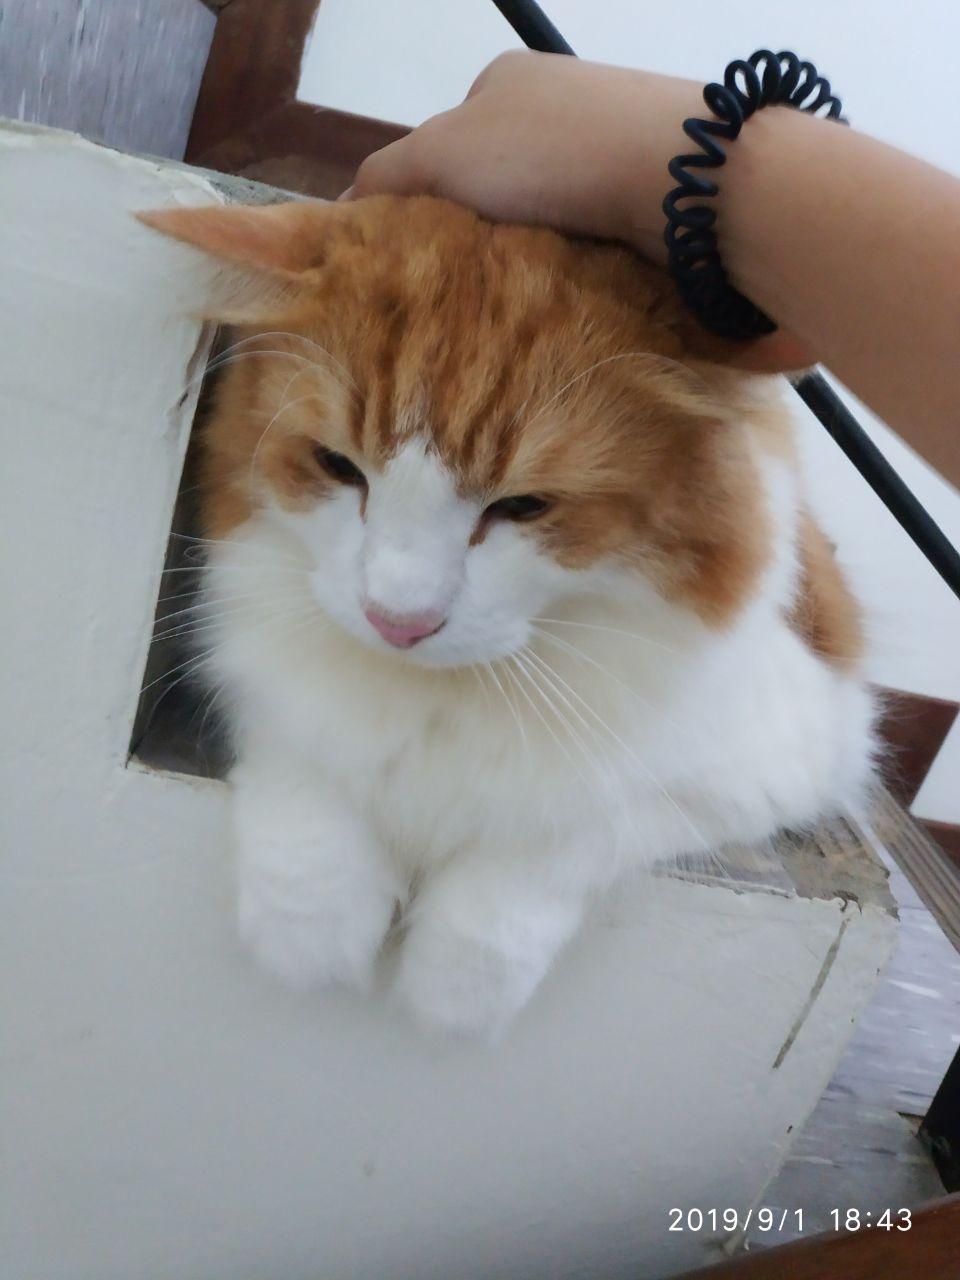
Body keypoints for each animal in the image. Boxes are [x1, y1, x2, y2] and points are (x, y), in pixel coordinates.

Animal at [140, 195, 874, 1039]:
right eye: (337, 466)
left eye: (525, 507)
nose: (397, 620)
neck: (438, 698)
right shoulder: (251, 664)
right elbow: (307, 764)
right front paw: (311, 926)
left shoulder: (777, 761)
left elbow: (559, 840)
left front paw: (457, 986)